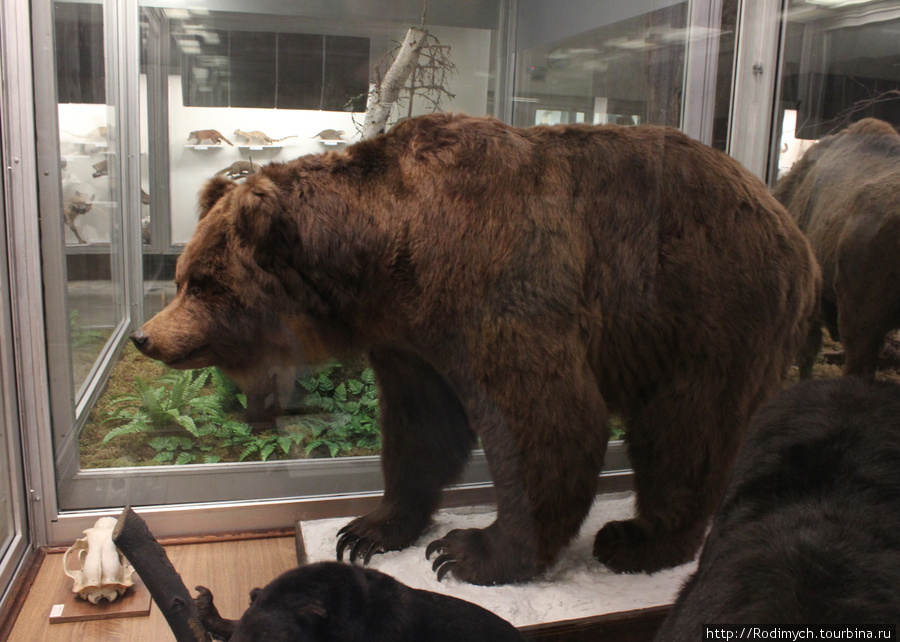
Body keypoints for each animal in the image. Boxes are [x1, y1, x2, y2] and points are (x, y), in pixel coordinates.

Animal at [135, 111, 824, 584]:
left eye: (203, 282)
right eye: (182, 276)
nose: (146, 336)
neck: (390, 253)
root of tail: (788, 221)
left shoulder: (496, 284)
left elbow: (548, 419)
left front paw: (471, 552)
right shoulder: (410, 338)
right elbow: (421, 429)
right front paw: (370, 529)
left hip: (708, 306)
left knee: (687, 429)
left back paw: (638, 541)